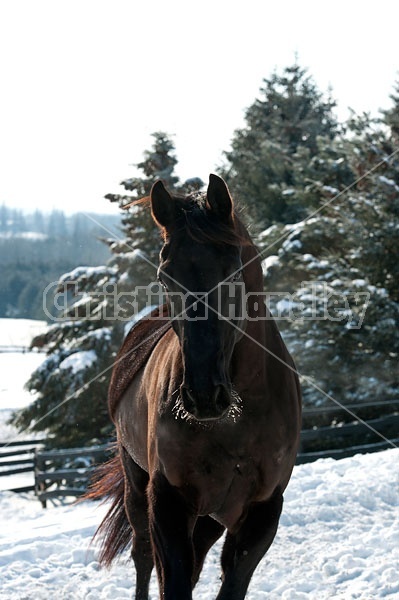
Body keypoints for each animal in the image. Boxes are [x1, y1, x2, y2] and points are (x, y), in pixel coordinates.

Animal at [89, 175, 302, 600]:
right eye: (164, 277)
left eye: (233, 271)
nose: (203, 396)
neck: (236, 423)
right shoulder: (168, 501)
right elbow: (170, 578)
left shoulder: (262, 512)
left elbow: (229, 583)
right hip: (138, 487)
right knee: (142, 554)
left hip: (213, 515)